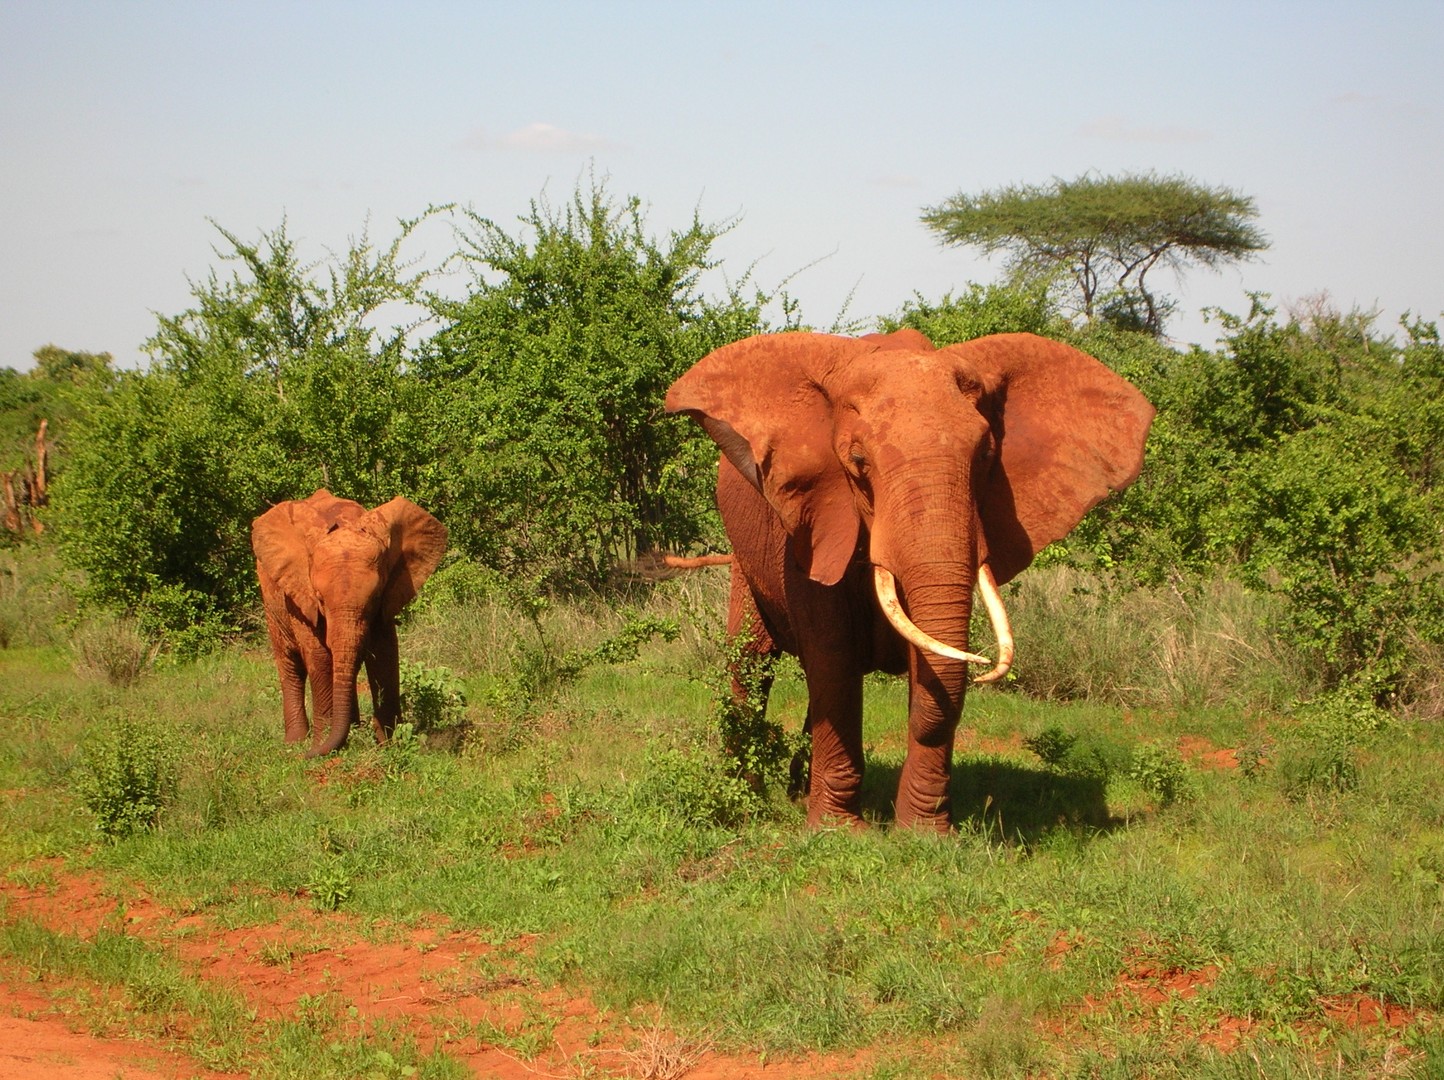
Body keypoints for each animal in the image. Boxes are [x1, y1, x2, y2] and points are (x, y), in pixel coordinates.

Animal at [252, 490, 444, 756]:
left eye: (375, 597)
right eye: (320, 599)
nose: (305, 757)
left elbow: (384, 654)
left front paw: (389, 745)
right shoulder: (301, 596)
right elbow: (320, 657)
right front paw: (320, 746)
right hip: (271, 600)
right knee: (291, 664)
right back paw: (295, 742)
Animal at [661, 326, 1149, 825]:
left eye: (986, 456)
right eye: (857, 461)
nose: (983, 669)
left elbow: (925, 657)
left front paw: (923, 832)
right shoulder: (809, 524)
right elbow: (833, 655)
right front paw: (839, 830)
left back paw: (798, 788)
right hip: (747, 562)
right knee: (752, 662)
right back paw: (751, 799)